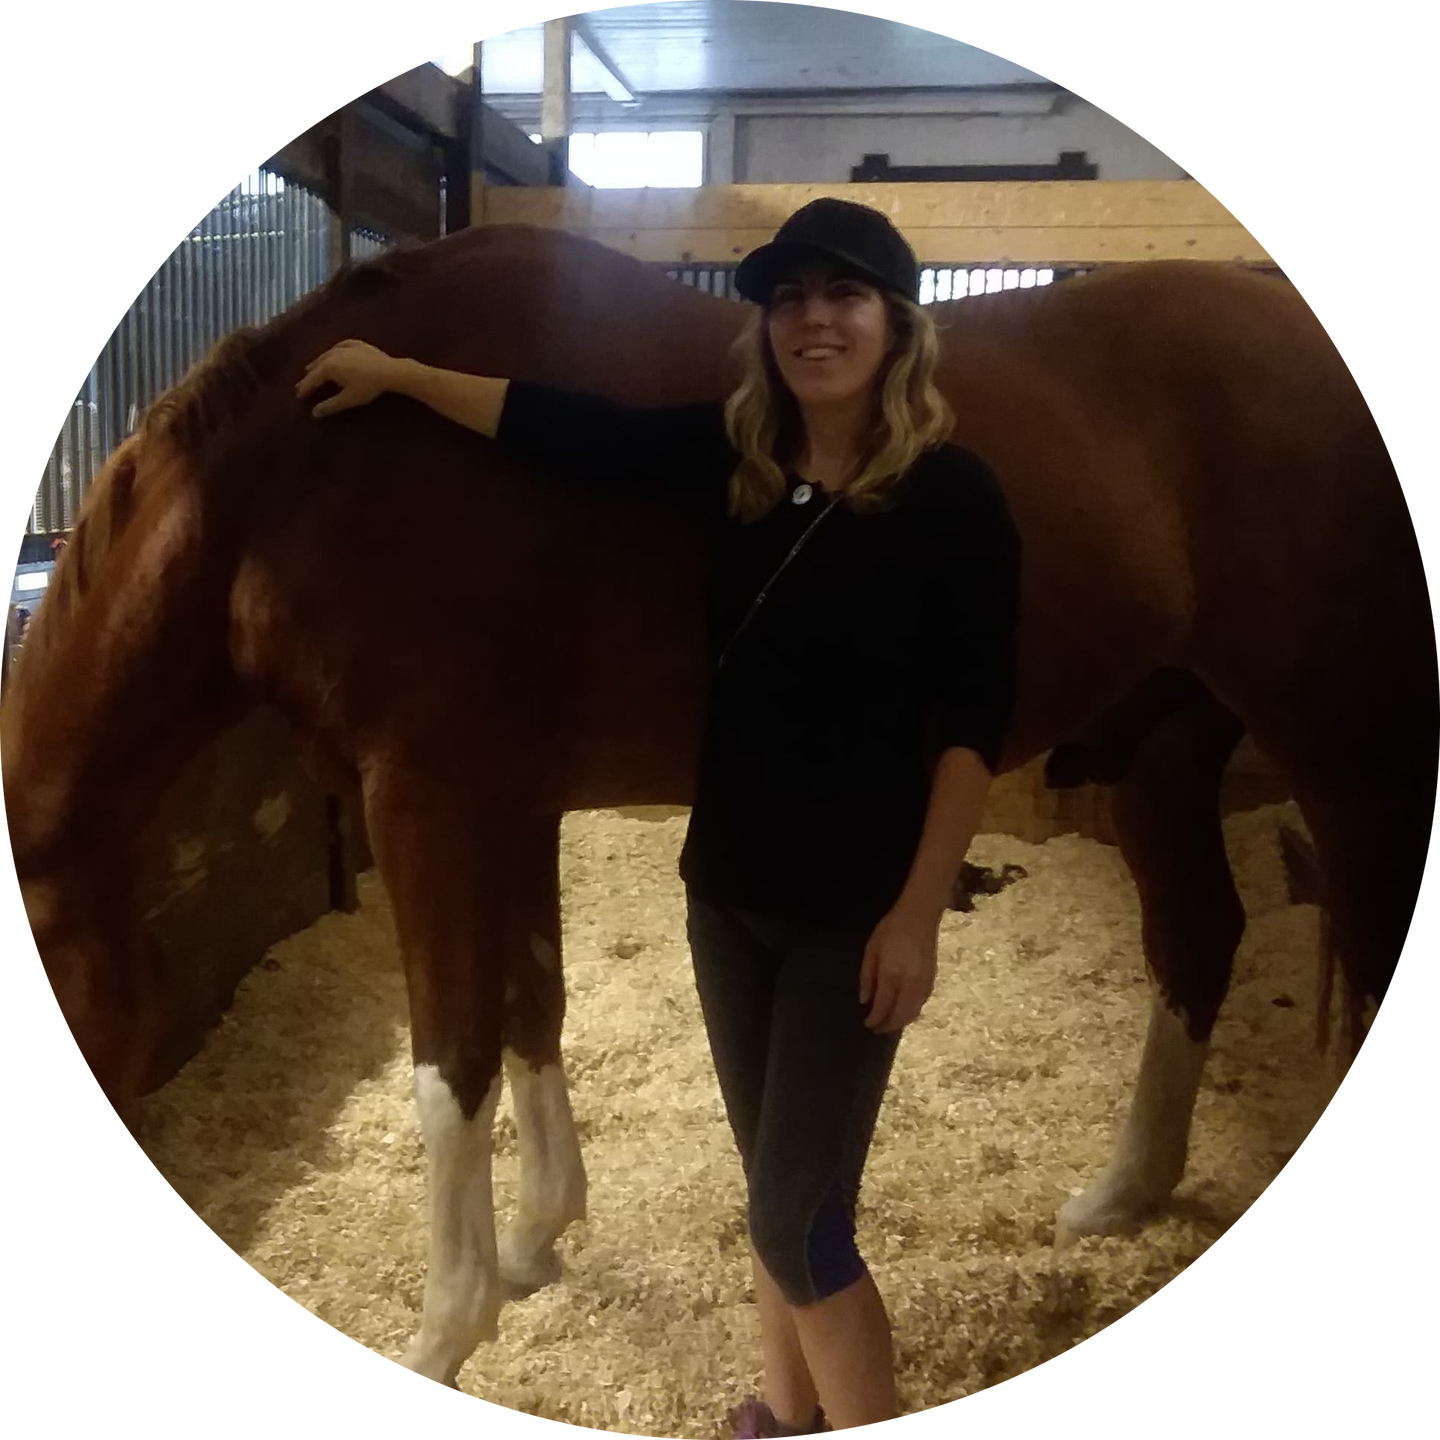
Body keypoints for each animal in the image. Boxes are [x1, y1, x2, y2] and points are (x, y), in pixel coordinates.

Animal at [1, 221, 1432, 1393]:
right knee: (1195, 938)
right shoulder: (505, 802)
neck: (306, 480)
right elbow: (532, 1005)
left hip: (1348, 758)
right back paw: (1125, 1191)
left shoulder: (426, 798)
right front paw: (538, 1239)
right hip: (1164, 748)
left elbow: (450, 1066)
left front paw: (449, 1327)